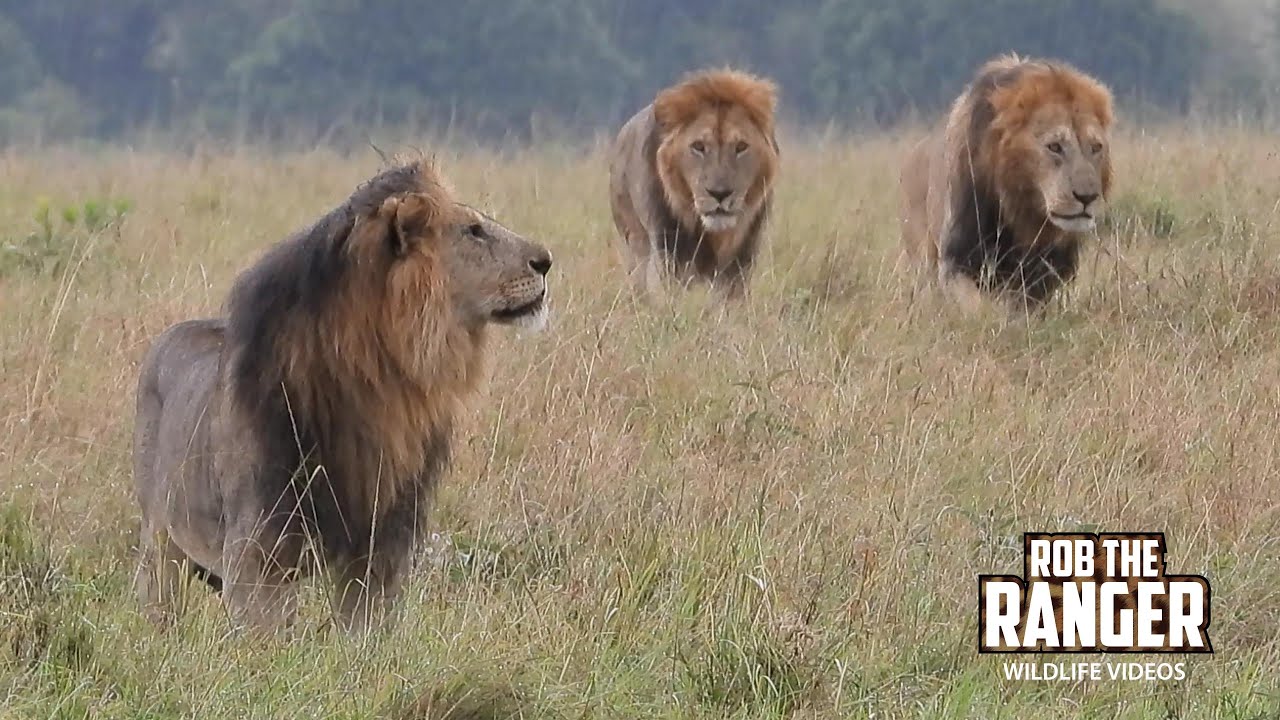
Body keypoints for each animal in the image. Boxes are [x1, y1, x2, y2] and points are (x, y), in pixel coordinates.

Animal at [132, 159, 553, 634]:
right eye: (474, 231)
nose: (546, 261)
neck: (386, 384)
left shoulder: (381, 545)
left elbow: (366, 631)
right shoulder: (258, 551)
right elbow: (264, 637)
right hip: (159, 534)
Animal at [609, 68, 780, 301]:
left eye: (741, 146)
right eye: (698, 146)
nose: (720, 193)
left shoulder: (741, 257)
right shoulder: (670, 252)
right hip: (634, 240)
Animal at [899, 54, 1114, 312]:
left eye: (1096, 147)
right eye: (1054, 146)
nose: (1087, 198)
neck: (1022, 208)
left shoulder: (1043, 274)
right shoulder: (958, 256)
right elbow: (976, 306)